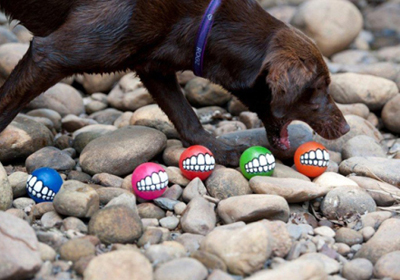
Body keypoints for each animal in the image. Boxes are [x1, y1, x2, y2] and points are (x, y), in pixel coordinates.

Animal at [0, 0, 346, 165]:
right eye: (317, 89)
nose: (345, 128)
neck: (208, 22)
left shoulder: (154, 67)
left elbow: (186, 116)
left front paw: (217, 150)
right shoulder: (50, 54)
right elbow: (5, 107)